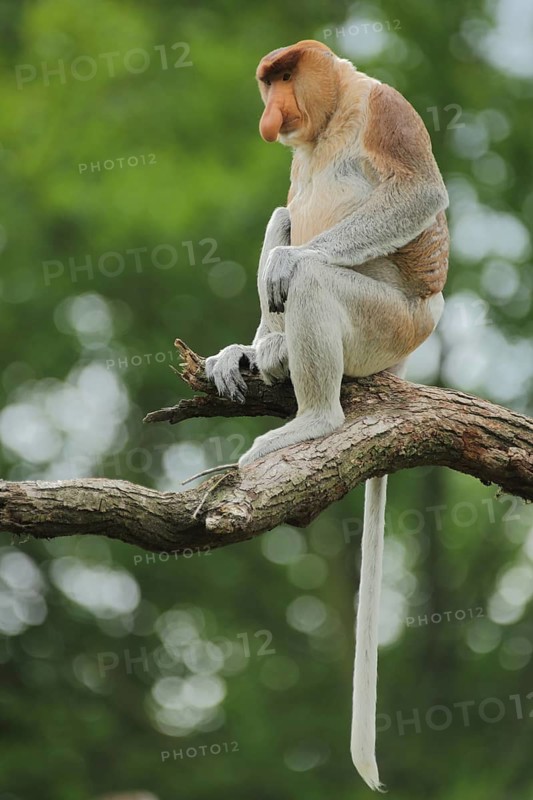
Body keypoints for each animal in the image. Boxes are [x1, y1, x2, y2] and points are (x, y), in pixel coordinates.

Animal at [205, 39, 449, 790]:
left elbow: (418, 193)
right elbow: (286, 209)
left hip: (385, 324)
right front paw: (247, 348)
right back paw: (267, 351)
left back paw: (312, 420)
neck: (334, 113)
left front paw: (290, 263)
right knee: (279, 217)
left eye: (283, 77)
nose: (270, 111)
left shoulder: (386, 108)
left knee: (310, 278)